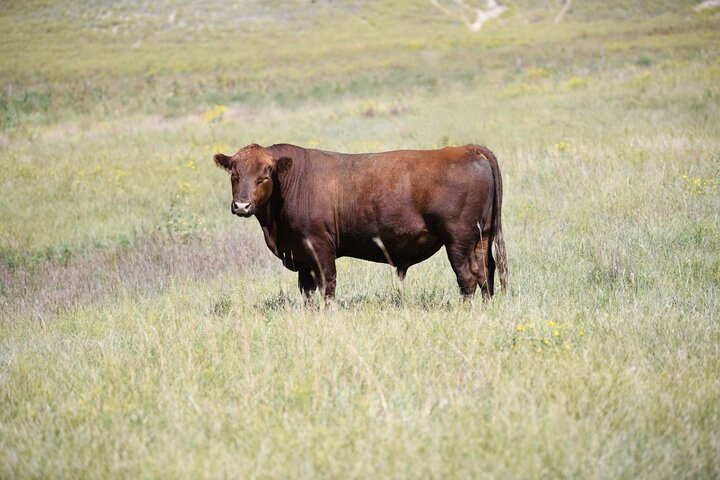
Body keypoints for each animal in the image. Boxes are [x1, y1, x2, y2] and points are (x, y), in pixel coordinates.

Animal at [213, 143, 508, 302]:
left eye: (264, 176)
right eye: (235, 175)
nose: (241, 205)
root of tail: (466, 149)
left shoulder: (319, 247)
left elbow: (327, 286)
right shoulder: (302, 256)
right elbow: (306, 291)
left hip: (457, 240)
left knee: (467, 277)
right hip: (482, 237)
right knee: (486, 273)